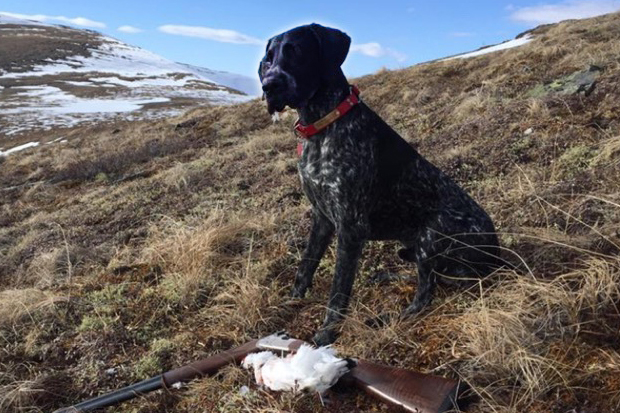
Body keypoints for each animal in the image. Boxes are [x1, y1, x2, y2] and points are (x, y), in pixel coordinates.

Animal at [260, 23, 502, 344]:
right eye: (269, 59)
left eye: (296, 51)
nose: (269, 86)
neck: (324, 125)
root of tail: (497, 256)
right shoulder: (322, 217)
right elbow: (306, 265)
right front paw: (291, 302)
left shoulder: (351, 227)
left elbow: (339, 289)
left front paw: (327, 333)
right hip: (413, 246)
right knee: (428, 277)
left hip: (432, 233)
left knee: (425, 295)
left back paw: (387, 319)